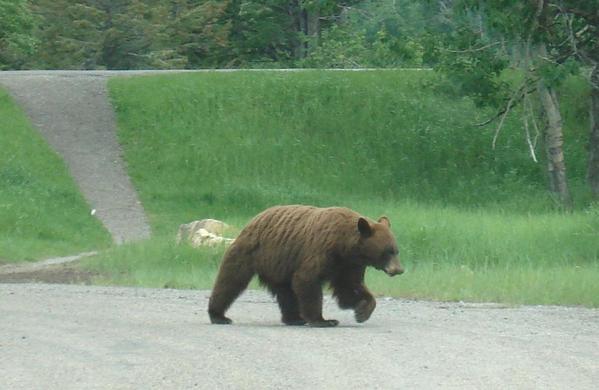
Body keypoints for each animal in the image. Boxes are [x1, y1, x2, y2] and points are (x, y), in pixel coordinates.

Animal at [206, 206, 404, 328]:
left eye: (396, 250)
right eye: (387, 252)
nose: (399, 270)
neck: (345, 245)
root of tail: (252, 221)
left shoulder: (349, 265)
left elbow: (349, 287)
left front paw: (362, 311)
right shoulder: (321, 250)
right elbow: (307, 279)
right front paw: (324, 320)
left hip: (280, 264)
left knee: (286, 292)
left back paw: (294, 318)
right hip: (250, 252)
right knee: (230, 281)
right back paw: (219, 315)